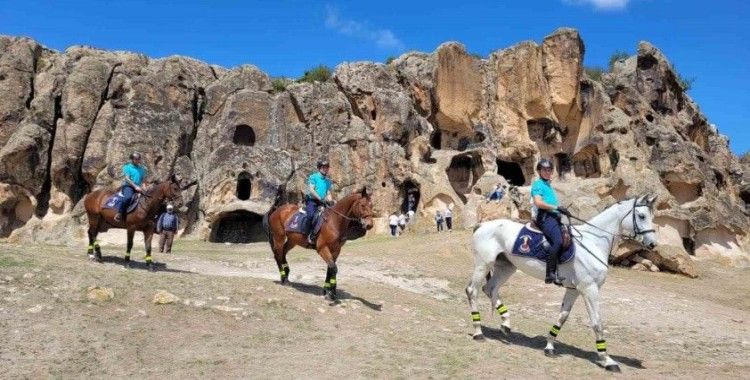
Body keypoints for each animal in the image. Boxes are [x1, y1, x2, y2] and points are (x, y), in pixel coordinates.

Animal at [468, 196, 660, 372]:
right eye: (642, 216)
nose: (652, 244)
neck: (593, 242)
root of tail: (482, 225)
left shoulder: (574, 290)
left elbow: (563, 317)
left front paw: (549, 347)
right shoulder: (589, 289)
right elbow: (597, 323)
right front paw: (607, 360)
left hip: (506, 267)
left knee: (490, 289)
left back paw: (506, 324)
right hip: (483, 264)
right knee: (472, 291)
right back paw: (478, 333)